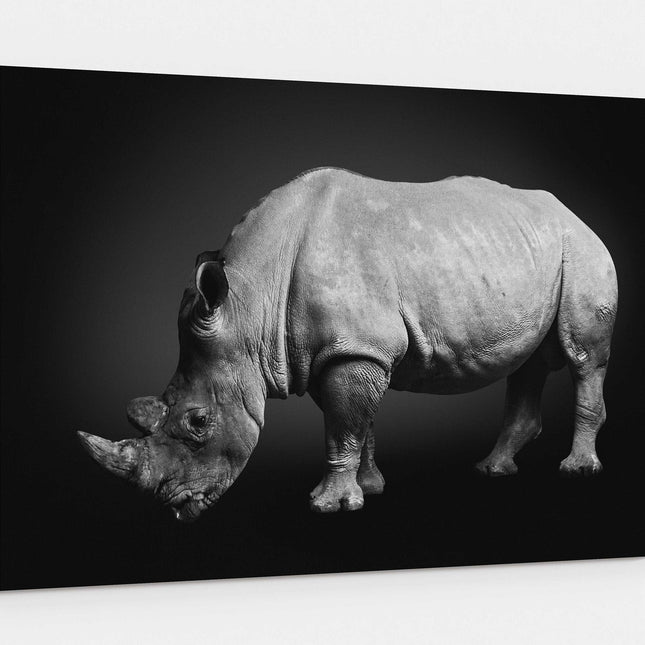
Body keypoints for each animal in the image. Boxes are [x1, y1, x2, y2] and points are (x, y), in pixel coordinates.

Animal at [78, 168, 618, 521]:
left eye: (198, 422)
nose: (176, 506)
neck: (249, 306)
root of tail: (574, 213)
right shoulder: (336, 350)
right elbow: (357, 422)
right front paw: (370, 487)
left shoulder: (355, 349)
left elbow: (342, 426)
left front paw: (328, 505)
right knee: (530, 362)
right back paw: (493, 469)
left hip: (582, 249)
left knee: (584, 358)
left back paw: (577, 470)